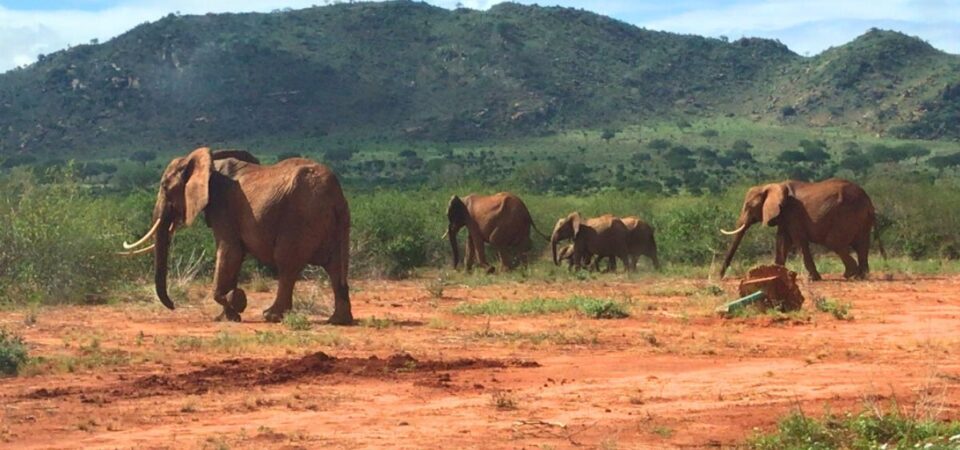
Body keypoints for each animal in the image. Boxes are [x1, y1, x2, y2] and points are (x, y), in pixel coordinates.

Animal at [117, 148, 352, 324]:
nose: (173, 305)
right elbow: (235, 257)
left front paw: (235, 300)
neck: (207, 163)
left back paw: (270, 315)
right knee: (335, 267)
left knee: (287, 264)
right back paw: (338, 320)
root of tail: (336, 194)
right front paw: (227, 315)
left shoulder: (223, 205)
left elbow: (229, 250)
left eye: (165, 187)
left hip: (300, 218)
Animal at [716, 178, 880, 282]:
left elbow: (798, 240)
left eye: (749, 206)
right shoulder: (784, 215)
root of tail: (869, 201)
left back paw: (849, 274)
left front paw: (813, 278)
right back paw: (860, 276)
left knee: (834, 242)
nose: (720, 277)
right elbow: (782, 241)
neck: (772, 185)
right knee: (862, 245)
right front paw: (775, 274)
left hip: (846, 215)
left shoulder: (793, 213)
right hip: (861, 218)